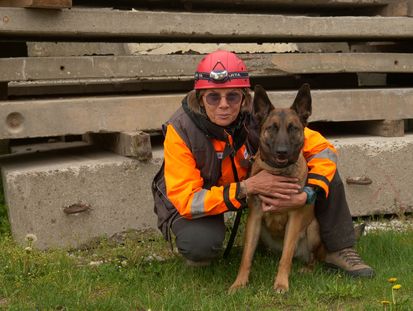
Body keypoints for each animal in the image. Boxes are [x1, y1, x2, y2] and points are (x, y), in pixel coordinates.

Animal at [227, 84, 324, 294]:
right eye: (272, 128)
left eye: (293, 128)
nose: (282, 151)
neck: (277, 172)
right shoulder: (254, 218)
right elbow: (246, 257)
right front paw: (239, 283)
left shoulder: (294, 219)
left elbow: (285, 258)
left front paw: (281, 283)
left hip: (313, 229)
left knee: (312, 258)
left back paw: (307, 268)